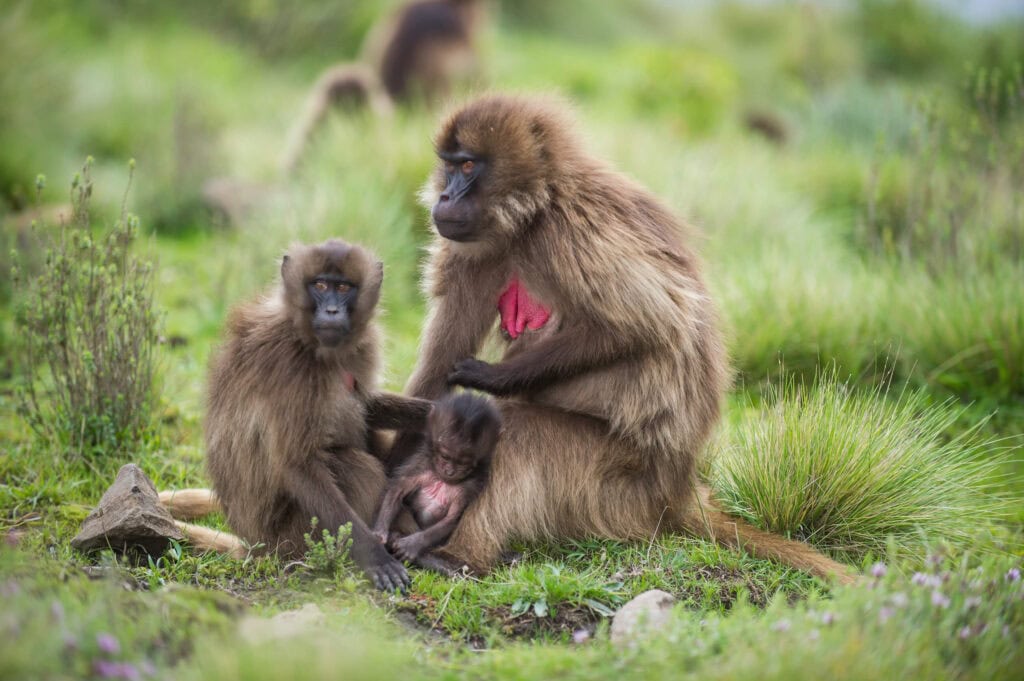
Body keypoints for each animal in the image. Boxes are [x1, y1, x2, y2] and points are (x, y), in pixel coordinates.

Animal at [183, 238, 438, 591]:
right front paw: (376, 557)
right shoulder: (288, 367)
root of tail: (256, 547)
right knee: (354, 467)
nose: (331, 311)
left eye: (343, 287)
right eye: (319, 285)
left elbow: (367, 408)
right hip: (296, 538)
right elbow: (297, 463)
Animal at [372, 392, 500, 569]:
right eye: (445, 456)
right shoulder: (421, 464)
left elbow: (451, 519)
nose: (450, 471)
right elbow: (397, 491)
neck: (442, 479)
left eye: (464, 463)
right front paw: (380, 532)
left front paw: (412, 544)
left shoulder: (470, 486)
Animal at [390, 94, 857, 584]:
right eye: (449, 166)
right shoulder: (473, 249)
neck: (532, 215)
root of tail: (679, 490)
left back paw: (456, 558)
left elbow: (646, 323)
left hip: (617, 483)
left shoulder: (574, 231)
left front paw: (490, 377)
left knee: (517, 434)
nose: (444, 197)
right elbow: (438, 367)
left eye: (467, 166)